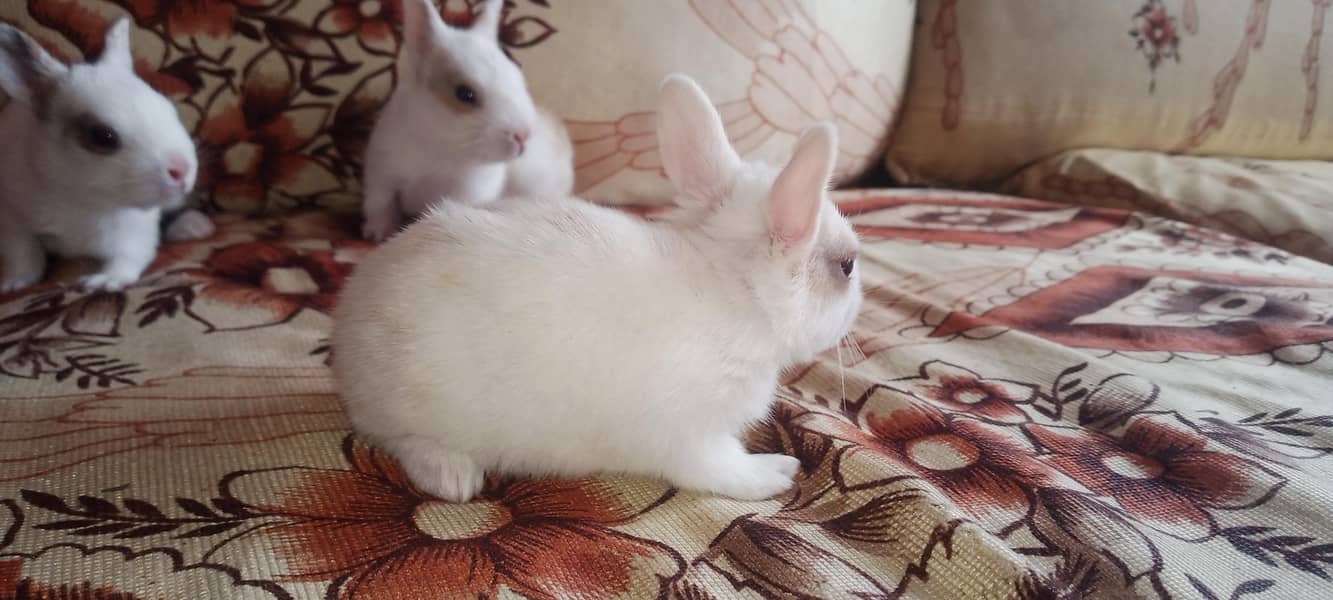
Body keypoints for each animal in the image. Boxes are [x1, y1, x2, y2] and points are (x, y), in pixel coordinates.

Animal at [0, 19, 199, 293]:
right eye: (103, 136)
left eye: (168, 108)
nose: (182, 169)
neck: (84, 201)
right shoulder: (12, 220)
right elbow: (24, 255)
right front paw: (14, 284)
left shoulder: (137, 231)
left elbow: (130, 256)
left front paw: (105, 281)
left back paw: (192, 227)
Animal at [332, 73, 863, 502]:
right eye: (847, 266)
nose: (858, 307)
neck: (736, 293)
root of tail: (347, 338)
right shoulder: (693, 436)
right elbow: (723, 471)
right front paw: (777, 473)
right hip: (417, 408)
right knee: (403, 441)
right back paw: (454, 478)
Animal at [359, 0, 574, 242]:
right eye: (465, 94)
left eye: (518, 79)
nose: (523, 135)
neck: (440, 147)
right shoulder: (381, 174)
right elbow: (381, 205)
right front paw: (378, 234)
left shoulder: (469, 193)